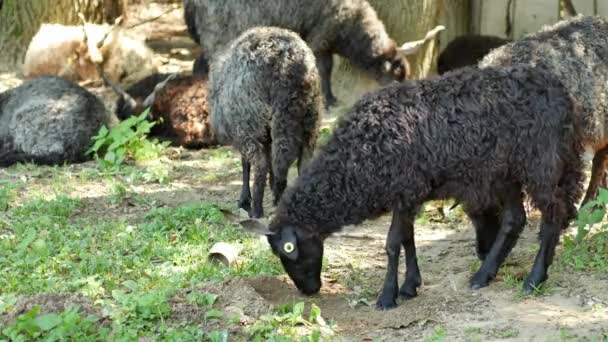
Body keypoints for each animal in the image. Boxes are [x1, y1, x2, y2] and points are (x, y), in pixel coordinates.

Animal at [180, 0, 442, 107]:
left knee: (199, 65)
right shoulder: (321, 37)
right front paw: (328, 99)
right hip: (221, 33)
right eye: (396, 76)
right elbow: (323, 69)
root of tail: (190, 6)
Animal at [209, 26, 324, 219]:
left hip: (250, 120)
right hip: (308, 120)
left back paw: (256, 210)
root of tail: (286, 63)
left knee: (260, 165)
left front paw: (244, 200)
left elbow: (246, 163)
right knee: (295, 163)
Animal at [238, 64, 584, 310]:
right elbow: (408, 240)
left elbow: (393, 244)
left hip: (541, 165)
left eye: (288, 252)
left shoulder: (405, 190)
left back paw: (534, 279)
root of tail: (563, 96)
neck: (357, 155)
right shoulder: (409, 194)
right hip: (506, 174)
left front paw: (387, 296)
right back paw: (483, 276)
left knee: (553, 215)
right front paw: (410, 286)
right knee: (515, 219)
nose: (310, 291)